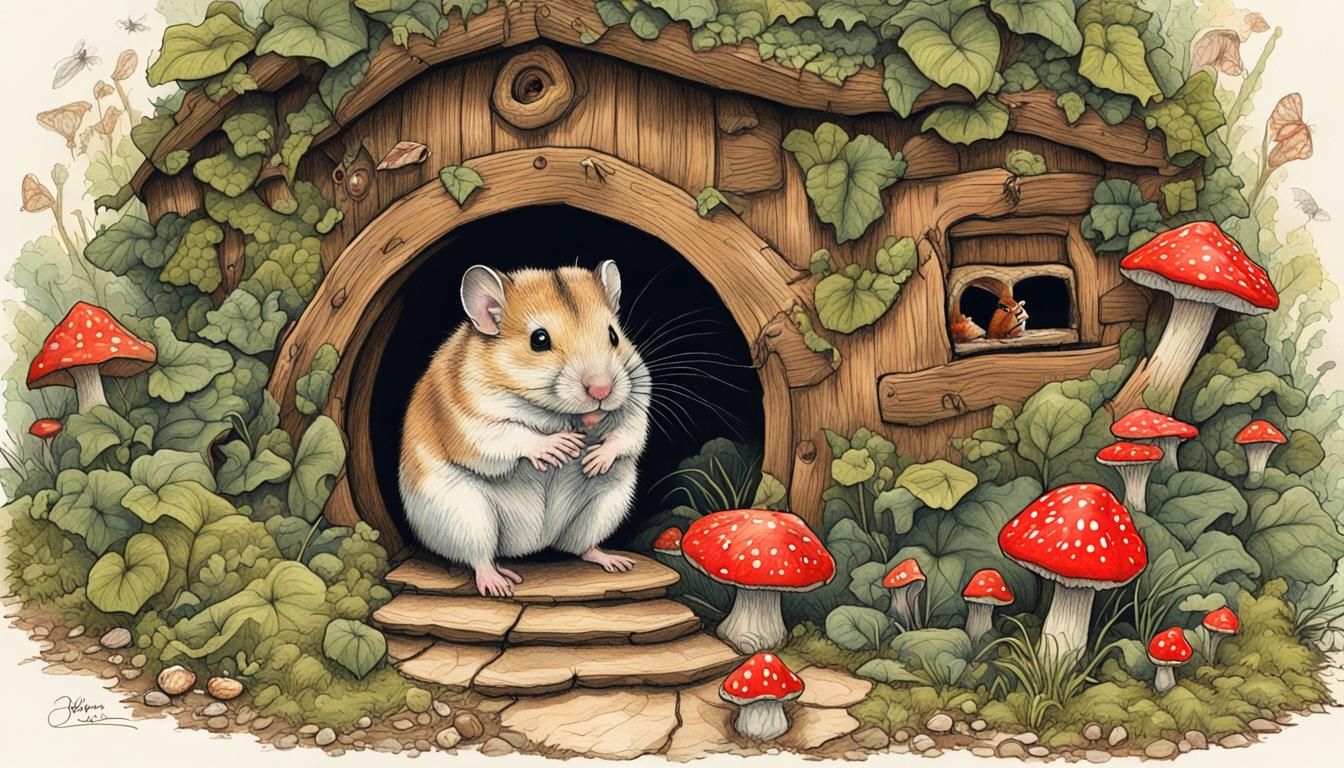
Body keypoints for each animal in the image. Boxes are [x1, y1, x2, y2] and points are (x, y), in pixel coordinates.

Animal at [398, 261, 651, 597]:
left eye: (613, 335)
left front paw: (593, 459)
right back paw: (499, 584)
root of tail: (536, 542)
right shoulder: (470, 420)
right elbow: (510, 434)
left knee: (582, 546)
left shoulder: (638, 393)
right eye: (539, 340)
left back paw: (615, 562)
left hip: (605, 506)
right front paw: (560, 448)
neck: (555, 414)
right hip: (465, 516)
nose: (602, 390)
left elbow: (627, 431)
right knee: (480, 557)